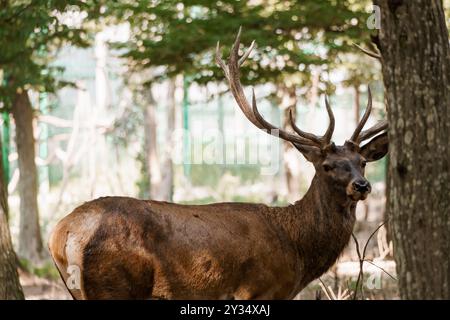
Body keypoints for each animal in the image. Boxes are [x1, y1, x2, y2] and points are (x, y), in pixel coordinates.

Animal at [48, 30, 386, 300]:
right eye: (327, 165)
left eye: (362, 162)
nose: (362, 186)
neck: (298, 251)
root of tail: (61, 233)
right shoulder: (258, 290)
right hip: (115, 284)